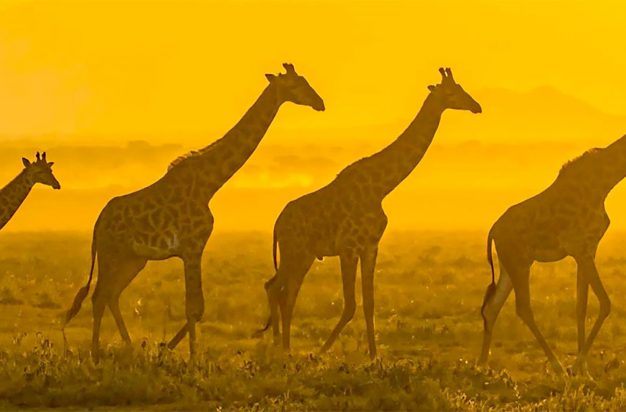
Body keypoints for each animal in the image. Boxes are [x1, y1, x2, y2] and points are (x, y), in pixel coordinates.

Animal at [62, 63, 324, 360]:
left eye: (305, 80)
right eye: (295, 85)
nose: (320, 103)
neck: (210, 185)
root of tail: (98, 223)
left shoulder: (190, 249)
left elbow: (197, 309)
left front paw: (168, 348)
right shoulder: (192, 247)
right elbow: (195, 307)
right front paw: (191, 356)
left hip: (134, 258)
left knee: (111, 295)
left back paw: (129, 347)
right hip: (111, 254)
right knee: (99, 296)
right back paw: (95, 353)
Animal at [256, 67, 480, 358]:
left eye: (462, 88)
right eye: (453, 92)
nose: (476, 106)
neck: (381, 187)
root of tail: (277, 223)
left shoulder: (371, 247)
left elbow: (370, 302)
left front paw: (374, 355)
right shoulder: (349, 248)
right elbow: (350, 303)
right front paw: (323, 350)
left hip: (303, 255)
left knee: (283, 291)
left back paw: (282, 347)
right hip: (295, 251)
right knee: (278, 289)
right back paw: (282, 348)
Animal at [476, 136, 624, 376]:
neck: (604, 182)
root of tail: (493, 231)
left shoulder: (587, 250)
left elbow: (581, 306)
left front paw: (584, 371)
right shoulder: (581, 248)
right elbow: (605, 303)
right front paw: (576, 366)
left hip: (509, 266)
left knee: (492, 307)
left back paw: (482, 365)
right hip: (519, 264)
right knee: (523, 308)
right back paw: (557, 366)